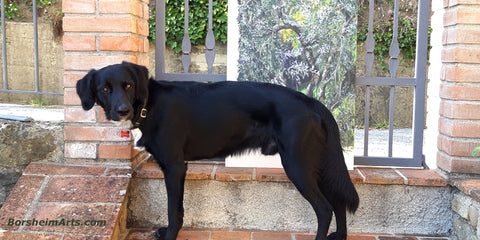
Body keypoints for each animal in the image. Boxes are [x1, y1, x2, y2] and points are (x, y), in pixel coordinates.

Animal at [76, 61, 360, 240]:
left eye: (128, 85)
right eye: (105, 89)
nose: (122, 110)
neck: (149, 105)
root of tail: (312, 101)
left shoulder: (174, 167)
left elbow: (172, 209)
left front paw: (170, 235)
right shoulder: (180, 168)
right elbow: (178, 208)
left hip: (297, 165)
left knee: (324, 208)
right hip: (317, 165)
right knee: (338, 201)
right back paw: (340, 236)